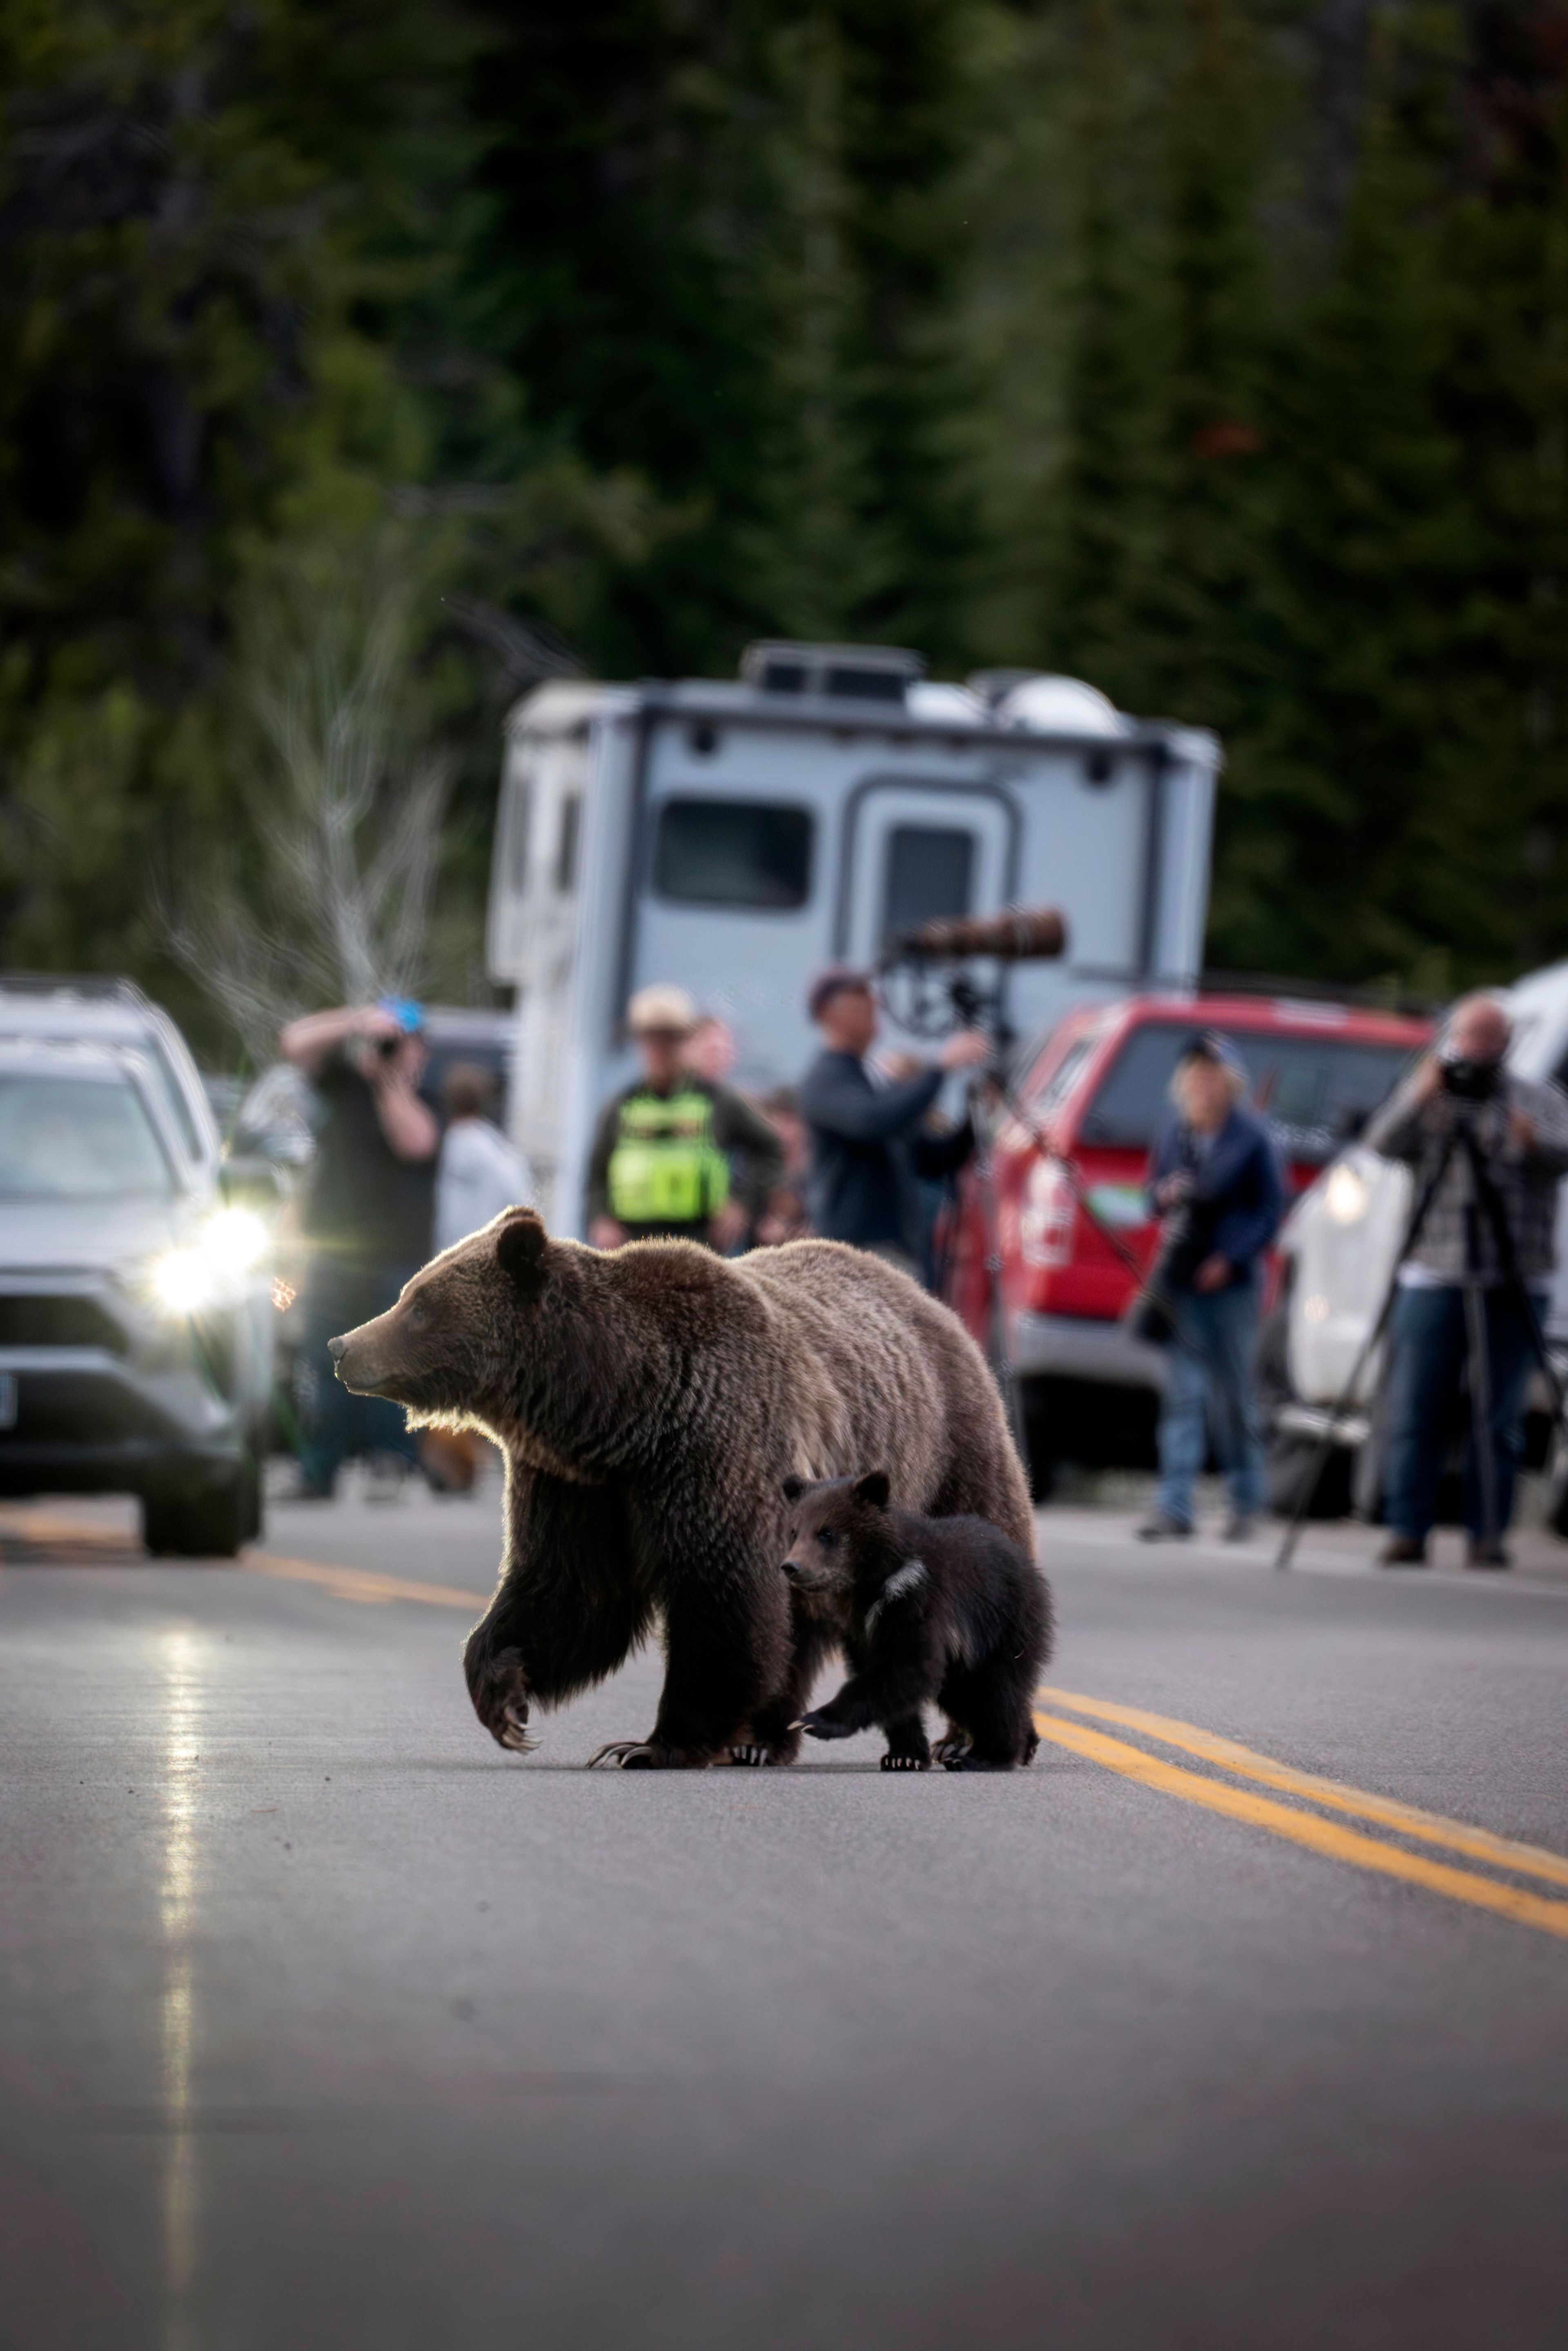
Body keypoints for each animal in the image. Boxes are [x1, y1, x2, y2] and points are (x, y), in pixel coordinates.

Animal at [780, 1467, 1053, 1768]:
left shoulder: (916, 1600)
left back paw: (988, 1755)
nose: (791, 1566)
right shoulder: (857, 1626)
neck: (871, 1583)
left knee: (997, 1692)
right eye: (794, 1531)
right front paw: (903, 1756)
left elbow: (909, 1665)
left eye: (826, 1533)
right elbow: (883, 1676)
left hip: (1005, 1624)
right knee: (965, 1694)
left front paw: (812, 1721)